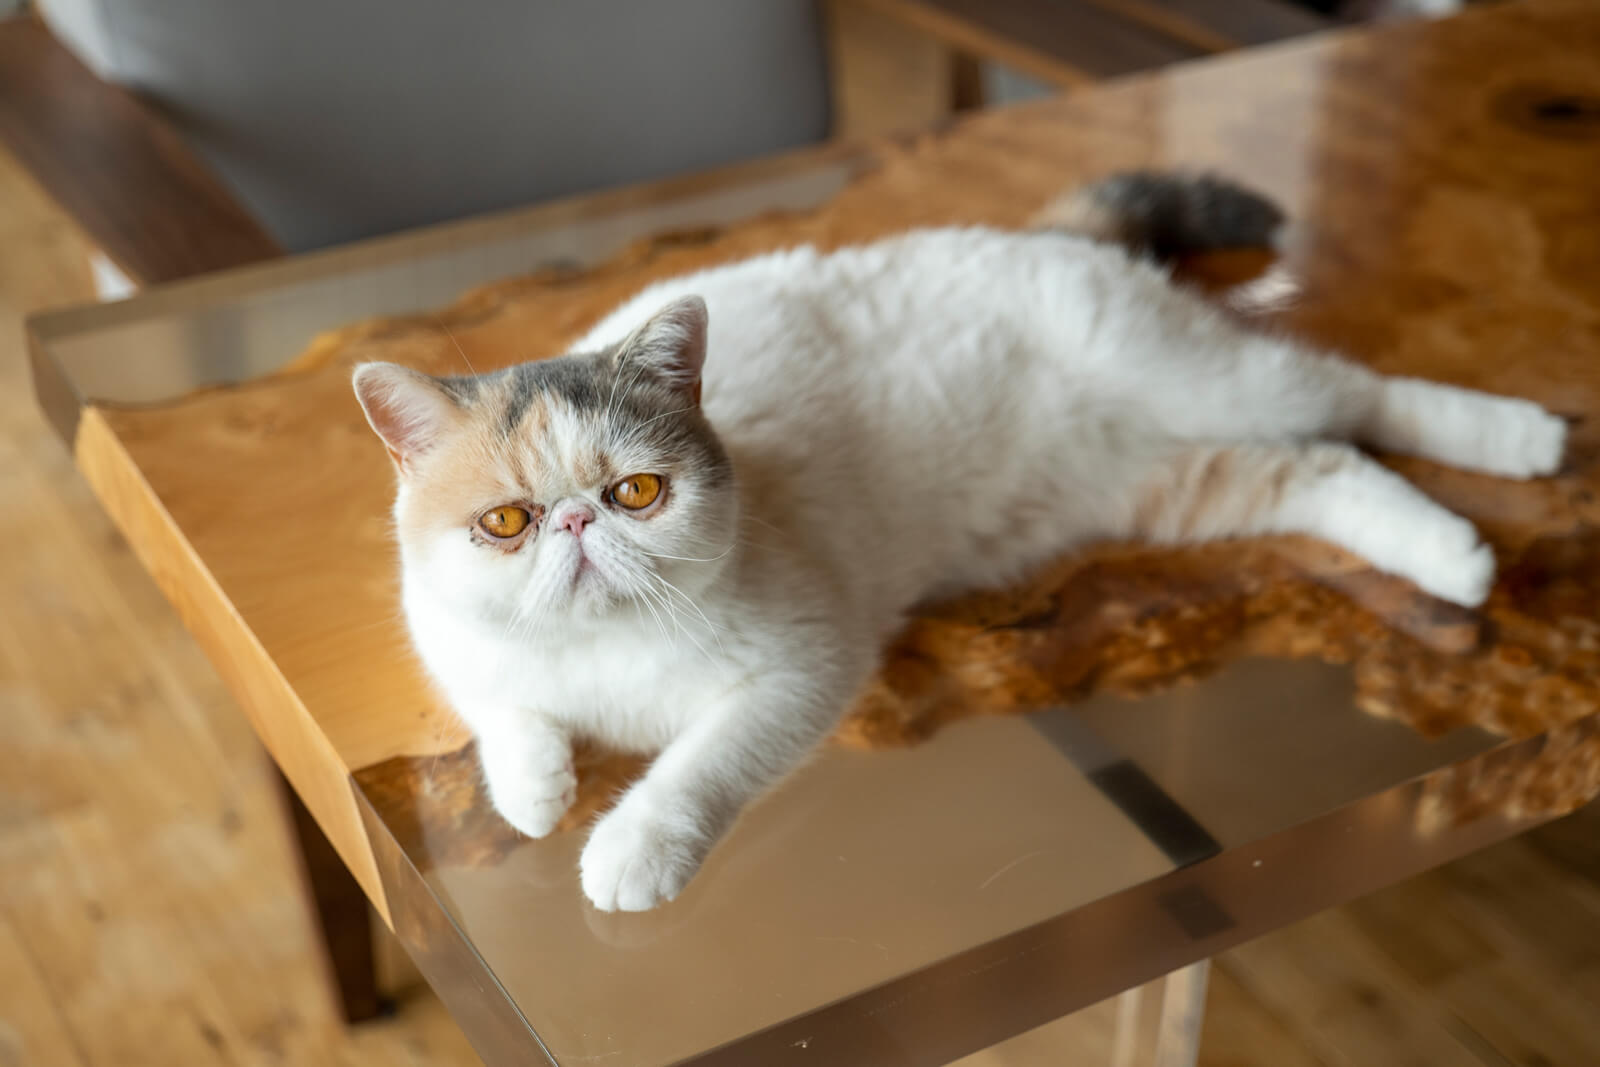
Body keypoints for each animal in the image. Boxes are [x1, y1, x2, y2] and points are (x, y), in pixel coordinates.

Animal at [356, 173, 1568, 908]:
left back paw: (1517, 437)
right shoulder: (449, 639)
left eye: (636, 491)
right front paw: (534, 786)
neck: (605, 655)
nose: (574, 520)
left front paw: (632, 846)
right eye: (505, 521)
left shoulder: (802, 668)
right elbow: (500, 706)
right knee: (1326, 468)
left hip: (1212, 378)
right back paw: (1451, 555)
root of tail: (1041, 238)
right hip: (1168, 483)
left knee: (1362, 394)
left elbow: (698, 763)